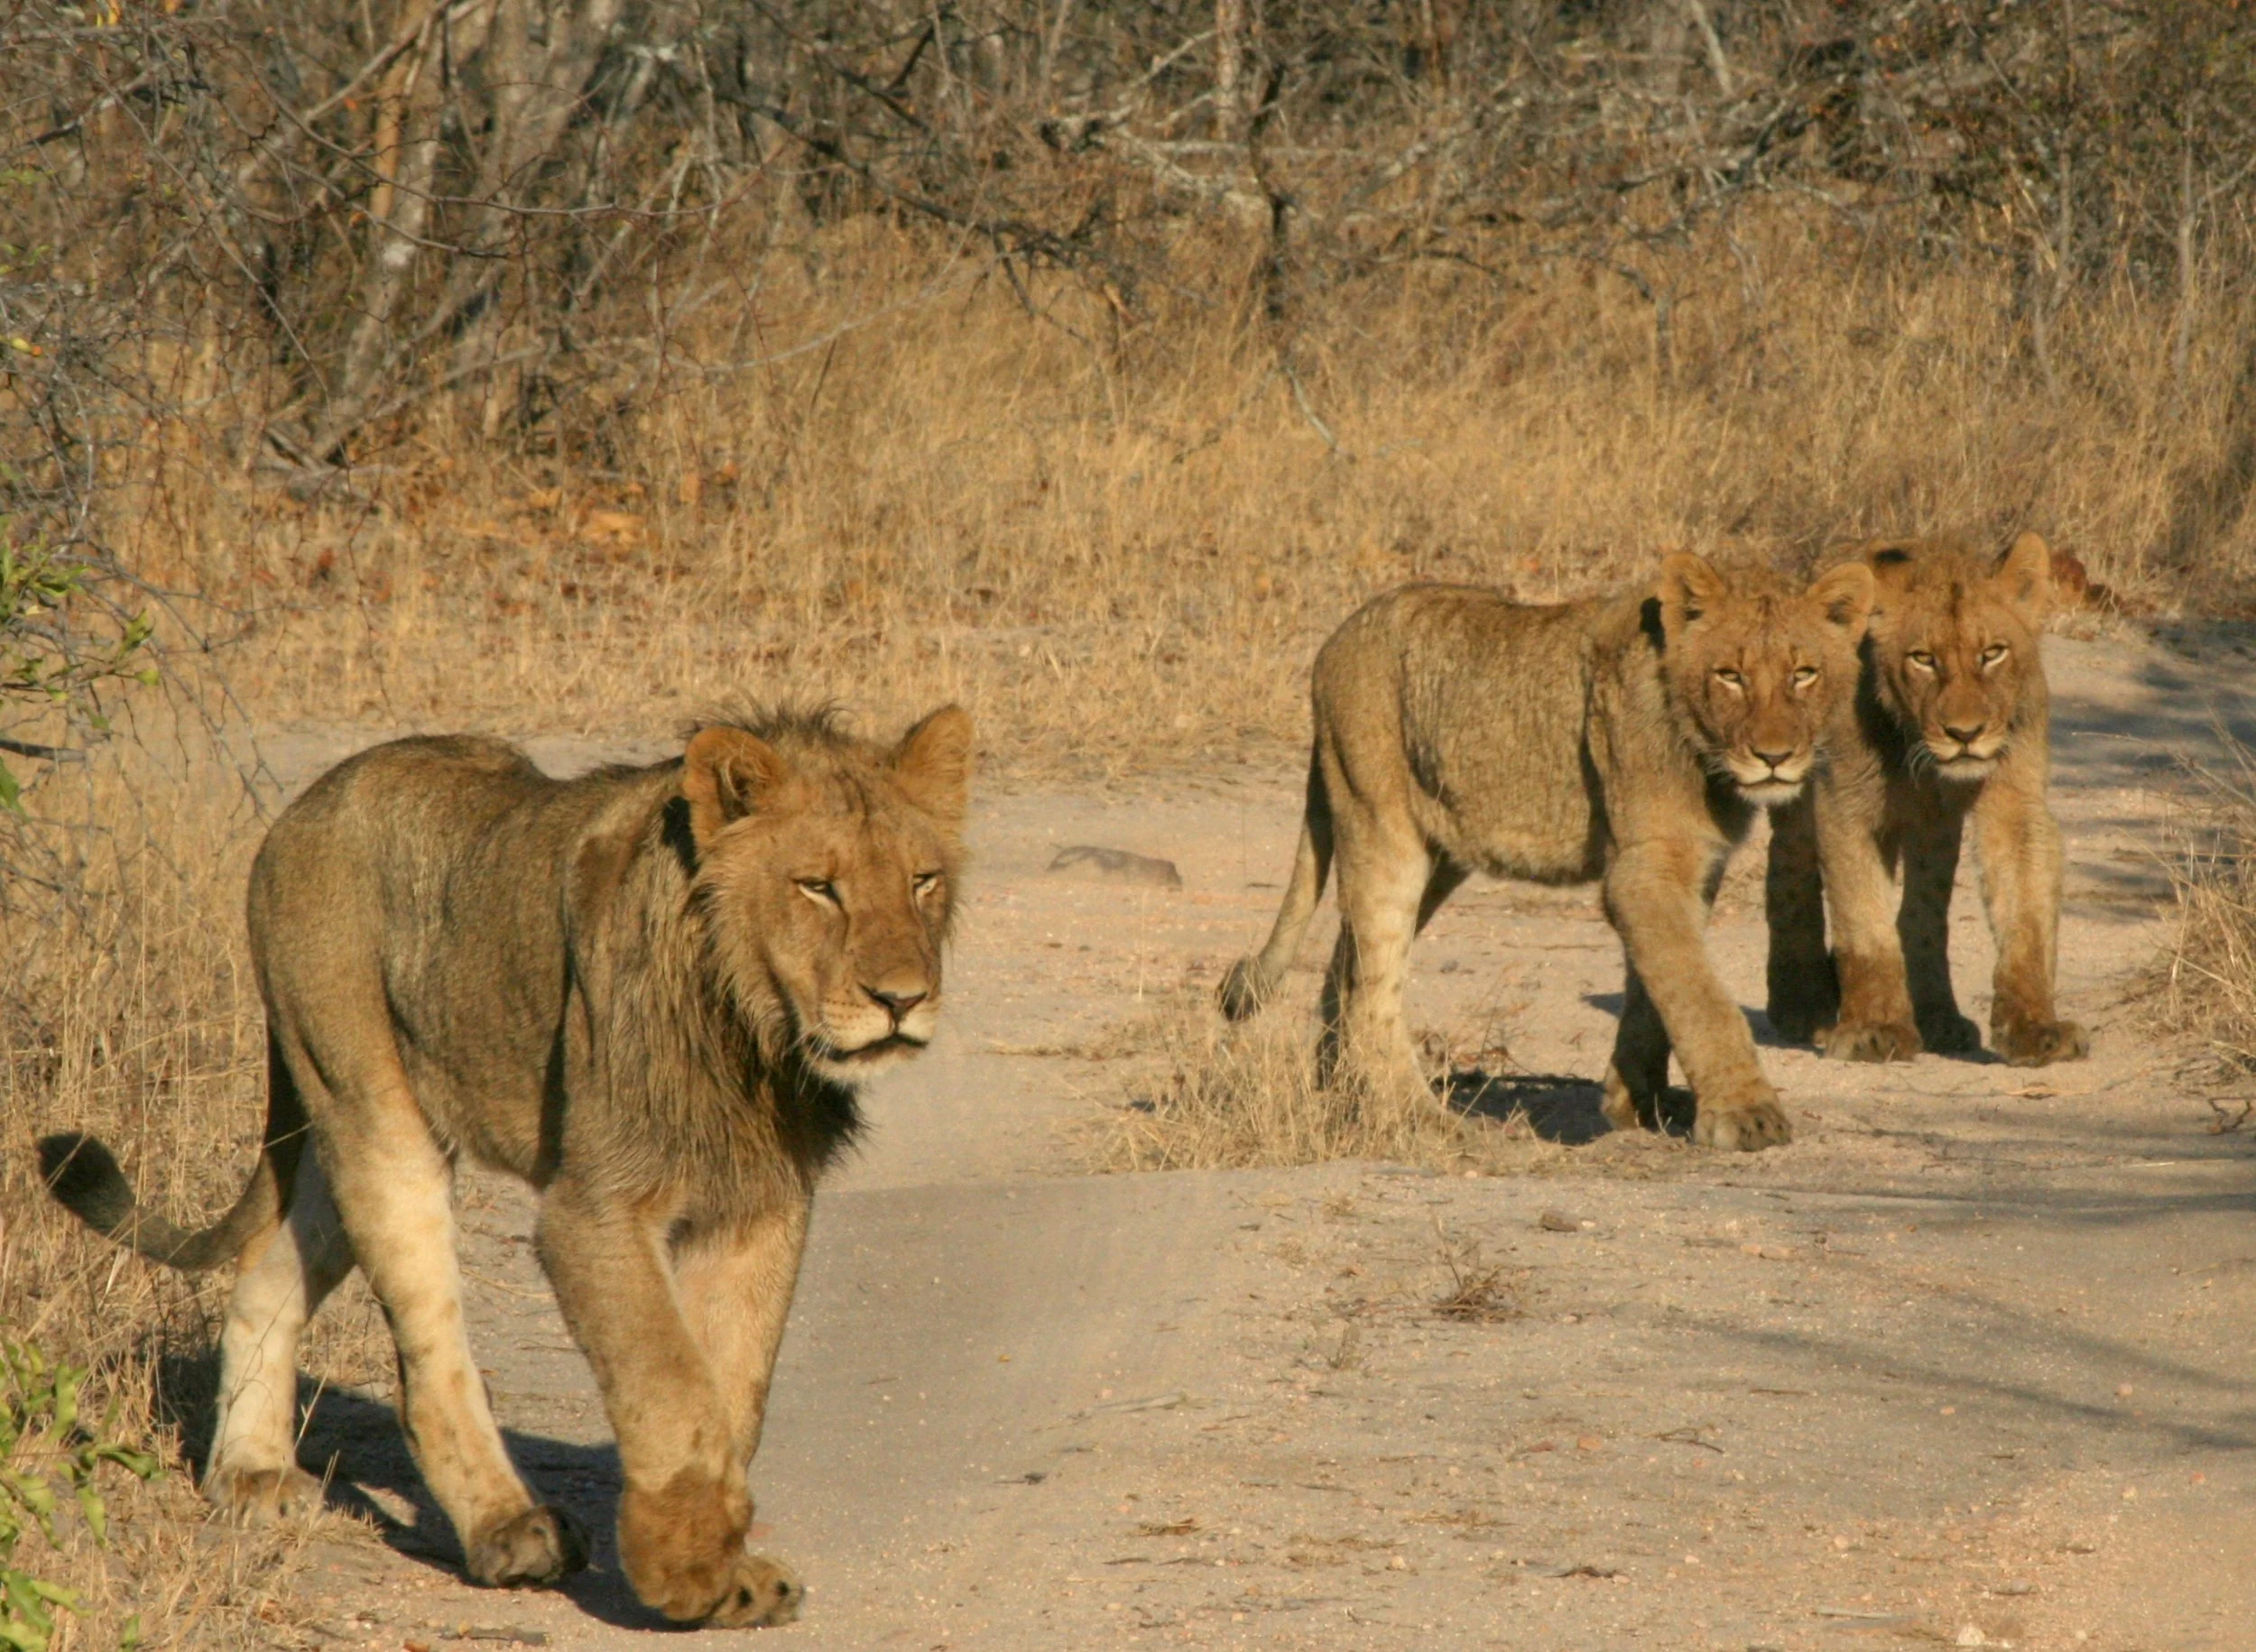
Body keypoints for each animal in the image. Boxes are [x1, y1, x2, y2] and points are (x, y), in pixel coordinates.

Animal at [38, 704, 972, 1627]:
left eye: (923, 881)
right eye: (818, 886)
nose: (902, 999)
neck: (754, 1034)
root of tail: (307, 802)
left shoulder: (759, 1203)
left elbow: (733, 1389)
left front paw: (725, 1568)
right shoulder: (594, 1206)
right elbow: (671, 1382)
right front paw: (685, 1571)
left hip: (339, 1126)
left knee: (265, 1274)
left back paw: (249, 1474)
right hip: (375, 1110)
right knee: (427, 1355)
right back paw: (508, 1530)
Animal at [1219, 554, 1875, 1151]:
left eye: (1805, 674)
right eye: (1730, 675)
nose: (1774, 756)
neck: (1704, 752)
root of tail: (1334, 639)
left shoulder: (1691, 867)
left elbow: (1653, 988)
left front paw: (1635, 1100)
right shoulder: (1645, 868)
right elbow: (1700, 996)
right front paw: (1745, 1115)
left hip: (1437, 854)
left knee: (1347, 966)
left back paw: (1342, 1092)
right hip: (1380, 823)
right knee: (1375, 988)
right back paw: (1419, 1119)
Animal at [1765, 531, 2088, 1067]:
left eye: (1992, 653)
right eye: (1923, 659)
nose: (1965, 734)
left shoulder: (2014, 800)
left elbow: (2025, 921)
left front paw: (2034, 1028)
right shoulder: (1844, 804)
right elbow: (1865, 926)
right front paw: (1874, 1028)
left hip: (1932, 829)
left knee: (1924, 915)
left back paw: (1940, 1019)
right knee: (1789, 872)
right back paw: (1802, 1005)